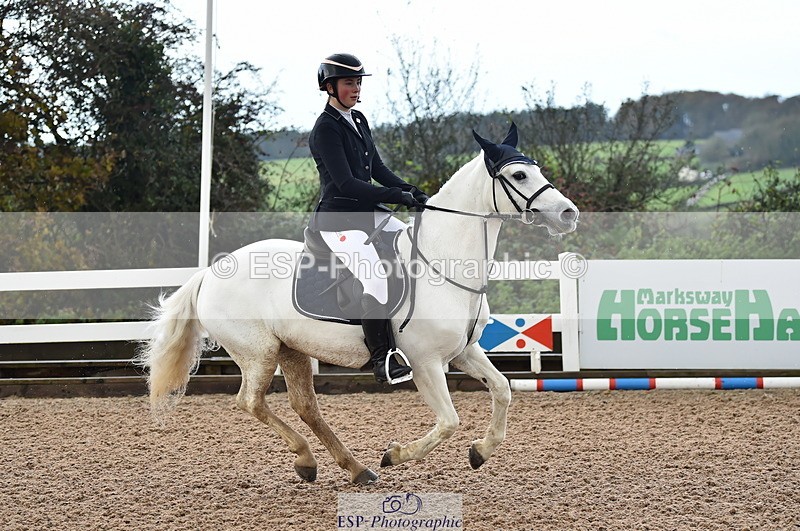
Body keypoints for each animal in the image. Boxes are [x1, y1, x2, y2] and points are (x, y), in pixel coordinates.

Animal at [136, 123, 579, 485]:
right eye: (519, 174)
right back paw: (310, 459)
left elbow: (502, 390)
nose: (569, 214)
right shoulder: (425, 362)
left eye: (538, 169)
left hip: (291, 350)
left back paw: (350, 467)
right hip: (258, 353)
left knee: (305, 405)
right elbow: (449, 421)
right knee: (251, 401)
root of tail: (210, 273)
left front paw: (480, 452)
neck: (444, 262)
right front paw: (396, 455)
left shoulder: (464, 352)